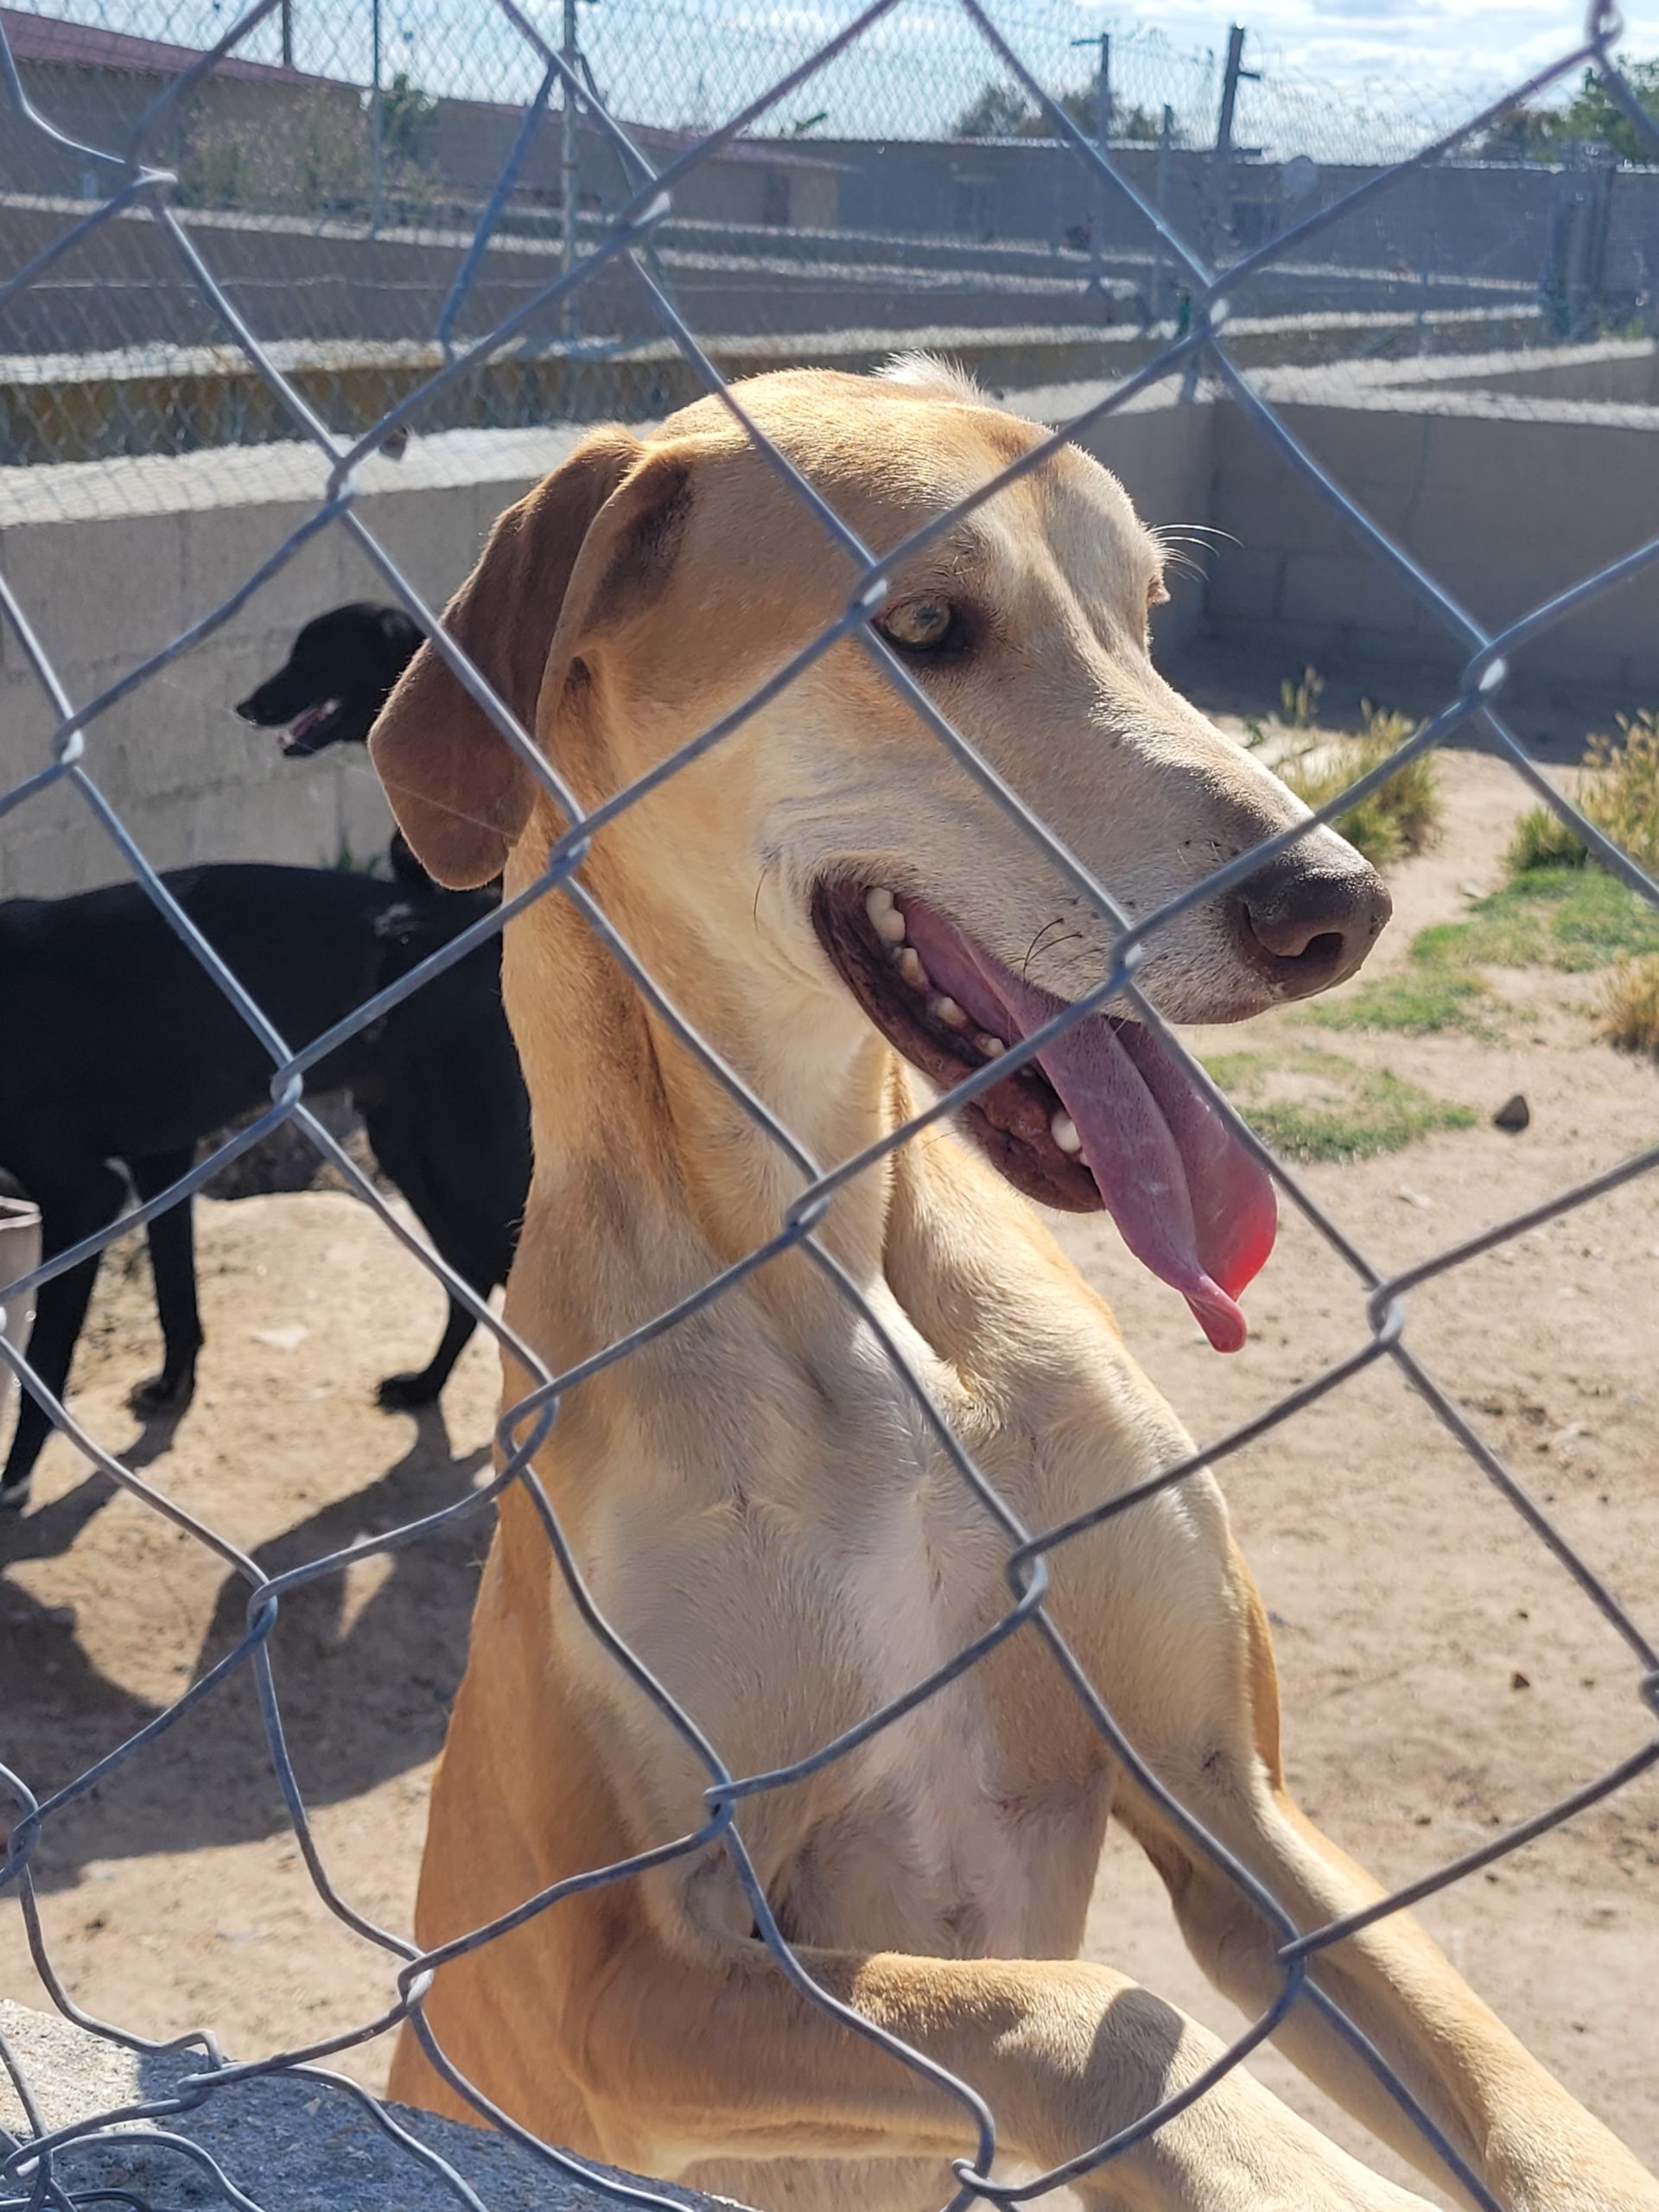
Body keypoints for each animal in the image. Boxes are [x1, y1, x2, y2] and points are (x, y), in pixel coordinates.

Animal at [0, 863, 529, 1511]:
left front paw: (13, 1480)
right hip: (407, 1147)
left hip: (474, 1158)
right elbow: (177, 1298)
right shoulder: (161, 1160)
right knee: (471, 1275)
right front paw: (172, 1390)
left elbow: (44, 1362)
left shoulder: (83, 1198)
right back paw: (425, 1386)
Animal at [368, 364, 1658, 2211]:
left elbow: (1507, 2088)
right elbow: (1071, 2012)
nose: (1338, 907)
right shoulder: (611, 1974)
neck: (837, 1262)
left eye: (1149, 614)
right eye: (923, 625)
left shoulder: (1235, 1803)